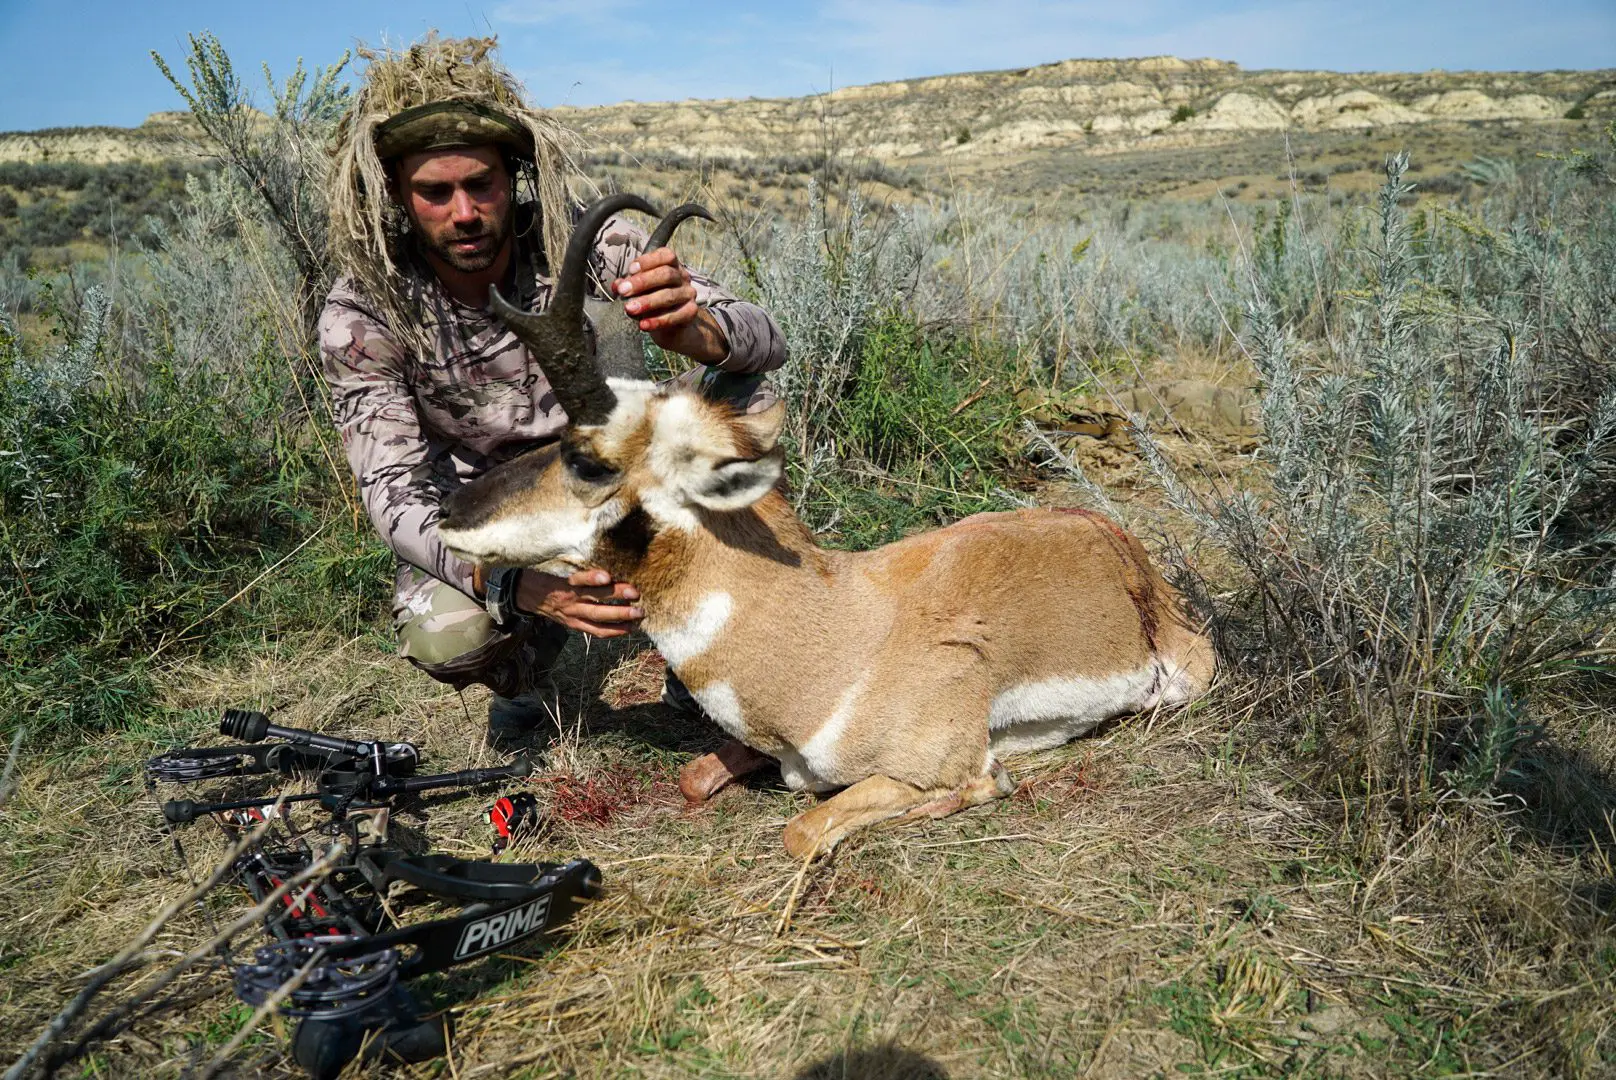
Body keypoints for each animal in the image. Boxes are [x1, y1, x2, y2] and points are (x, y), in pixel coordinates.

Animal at [442, 191, 1215, 853]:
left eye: (585, 458)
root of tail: (1119, 545)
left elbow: (808, 827)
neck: (834, 628)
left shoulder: (932, 763)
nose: (448, 511)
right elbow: (695, 777)